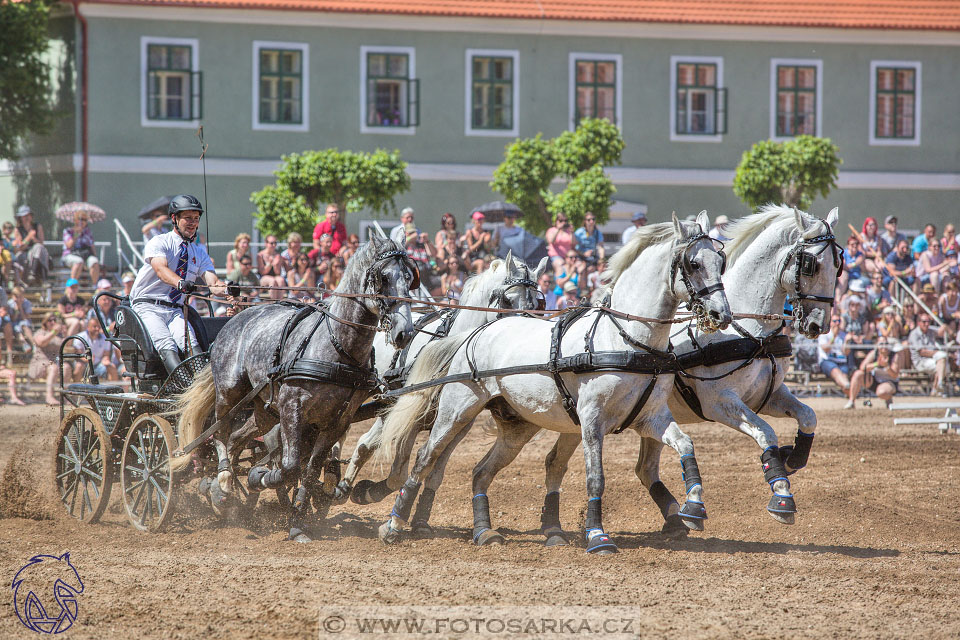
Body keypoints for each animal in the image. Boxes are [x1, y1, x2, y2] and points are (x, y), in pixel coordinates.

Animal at [336, 252, 548, 508]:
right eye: (507, 300)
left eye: (538, 304)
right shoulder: (412, 415)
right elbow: (398, 474)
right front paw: (370, 491)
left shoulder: (459, 424)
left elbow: (434, 472)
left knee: (364, 443)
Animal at [376, 214, 736, 556]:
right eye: (693, 264)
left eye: (721, 261)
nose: (722, 314)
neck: (627, 340)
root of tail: (476, 332)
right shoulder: (592, 420)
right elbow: (595, 478)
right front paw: (597, 536)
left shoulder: (651, 417)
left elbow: (686, 444)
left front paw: (694, 506)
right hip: (456, 411)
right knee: (425, 458)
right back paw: (394, 523)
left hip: (517, 427)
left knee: (481, 471)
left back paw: (484, 531)